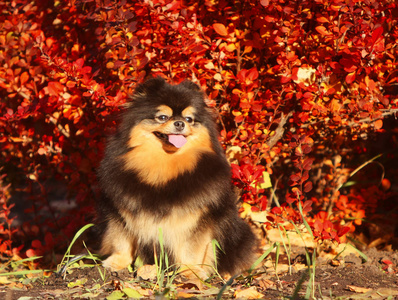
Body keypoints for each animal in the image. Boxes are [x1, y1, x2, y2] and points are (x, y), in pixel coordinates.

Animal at [98, 77, 256, 276]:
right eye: (162, 117)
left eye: (189, 119)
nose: (180, 123)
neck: (165, 164)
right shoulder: (121, 208)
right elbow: (122, 239)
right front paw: (117, 262)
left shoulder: (198, 218)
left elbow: (191, 247)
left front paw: (190, 270)